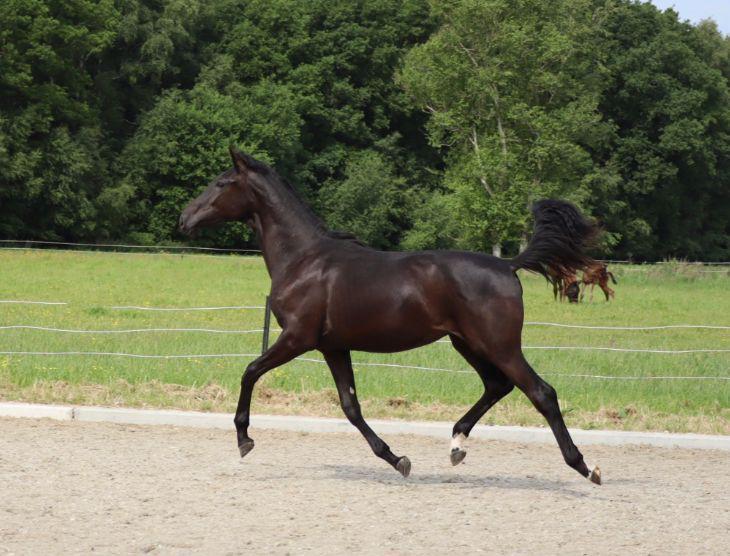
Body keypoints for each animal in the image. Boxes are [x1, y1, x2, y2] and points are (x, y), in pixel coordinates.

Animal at [179, 147, 602, 485]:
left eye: (221, 183)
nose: (184, 218)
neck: (303, 259)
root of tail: (508, 266)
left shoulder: (297, 338)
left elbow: (250, 371)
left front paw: (244, 439)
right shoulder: (333, 347)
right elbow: (350, 407)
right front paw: (398, 459)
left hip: (498, 344)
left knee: (540, 392)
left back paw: (586, 467)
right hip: (467, 343)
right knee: (497, 386)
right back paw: (456, 445)